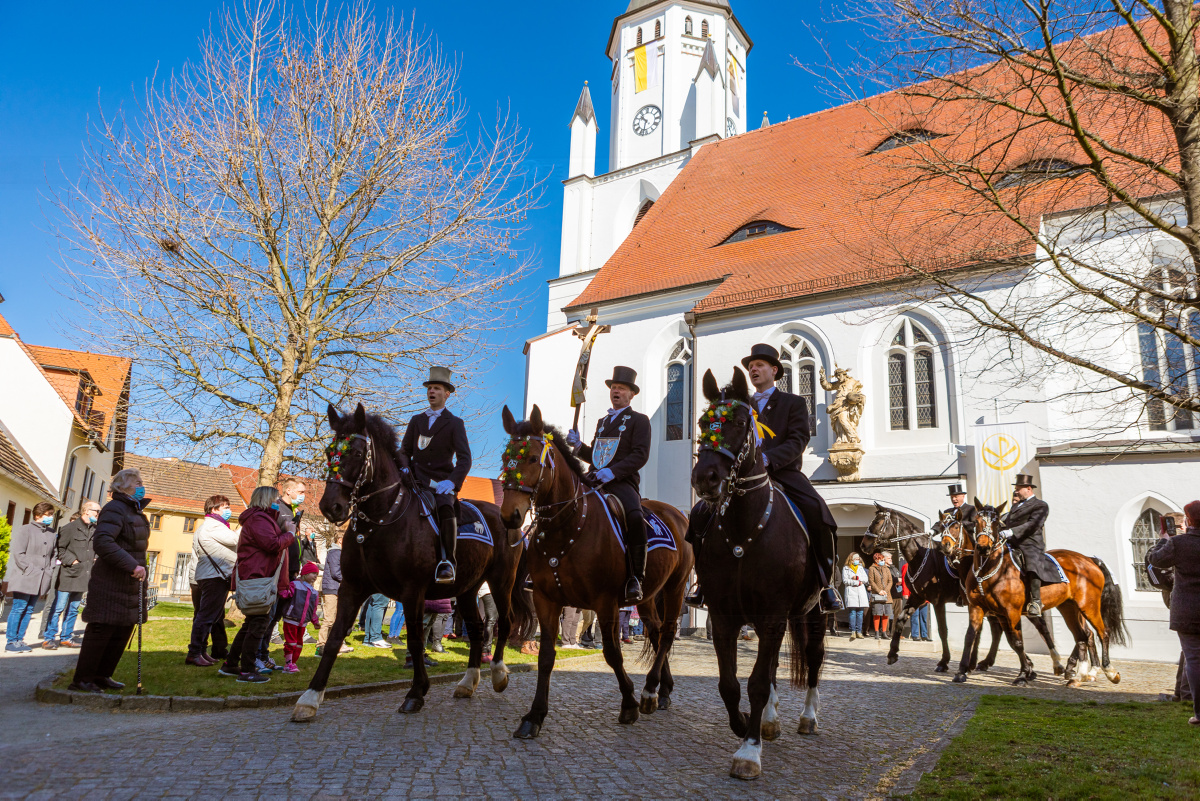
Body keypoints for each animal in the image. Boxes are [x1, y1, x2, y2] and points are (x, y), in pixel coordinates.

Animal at [290, 402, 530, 724]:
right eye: (330, 452)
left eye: (357, 453)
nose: (331, 507)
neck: (380, 520)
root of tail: (507, 517)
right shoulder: (351, 588)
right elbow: (334, 637)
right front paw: (310, 698)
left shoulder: (412, 591)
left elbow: (415, 640)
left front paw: (416, 692)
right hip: (468, 589)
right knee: (478, 629)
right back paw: (468, 681)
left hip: (502, 581)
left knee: (505, 622)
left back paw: (499, 674)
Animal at [494, 402, 691, 743]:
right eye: (507, 457)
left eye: (532, 458)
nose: (510, 516)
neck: (568, 524)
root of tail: (677, 513)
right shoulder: (546, 600)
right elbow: (546, 657)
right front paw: (534, 716)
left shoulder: (605, 602)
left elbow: (612, 653)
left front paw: (629, 703)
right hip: (647, 596)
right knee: (654, 632)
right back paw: (661, 691)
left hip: (675, 588)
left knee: (666, 633)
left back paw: (649, 691)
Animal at [691, 371, 830, 781]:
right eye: (702, 424)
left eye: (740, 423)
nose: (706, 478)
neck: (744, 529)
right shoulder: (724, 618)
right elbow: (730, 685)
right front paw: (744, 724)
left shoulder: (770, 618)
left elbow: (754, 683)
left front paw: (749, 752)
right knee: (770, 670)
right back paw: (769, 720)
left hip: (813, 612)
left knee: (813, 659)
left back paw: (807, 717)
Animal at [859, 506, 1065, 676]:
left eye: (877, 522)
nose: (863, 545)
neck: (922, 557)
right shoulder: (917, 598)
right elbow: (900, 619)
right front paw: (892, 653)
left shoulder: (936, 601)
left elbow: (943, 630)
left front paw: (944, 662)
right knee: (998, 630)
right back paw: (987, 662)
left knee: (1039, 626)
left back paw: (1055, 664)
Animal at [950, 503, 1128, 685]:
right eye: (977, 521)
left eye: (996, 523)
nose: (983, 547)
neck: (988, 570)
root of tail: (1089, 559)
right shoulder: (980, 609)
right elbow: (971, 636)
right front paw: (961, 671)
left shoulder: (1012, 612)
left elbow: (1018, 641)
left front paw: (1024, 674)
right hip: (1069, 608)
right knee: (1082, 636)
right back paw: (1079, 675)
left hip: (1088, 605)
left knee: (1102, 632)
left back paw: (1108, 671)